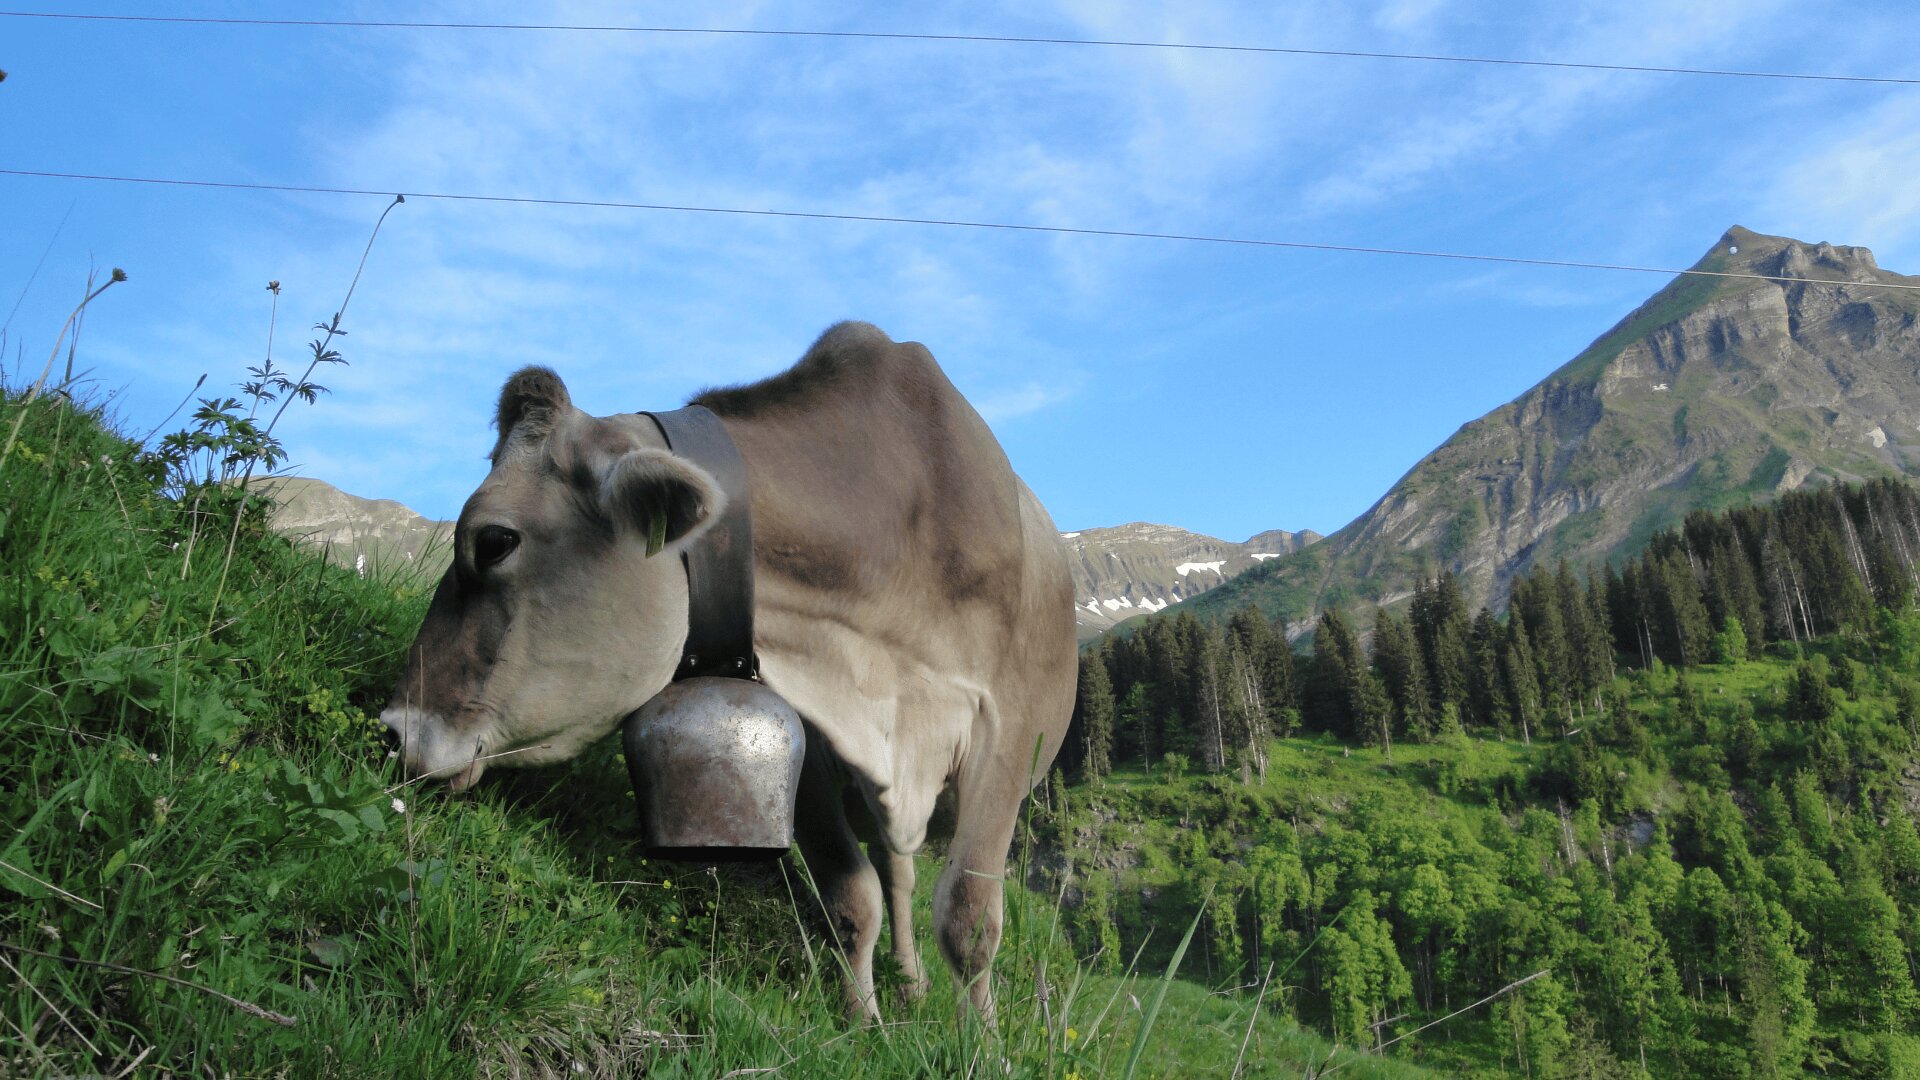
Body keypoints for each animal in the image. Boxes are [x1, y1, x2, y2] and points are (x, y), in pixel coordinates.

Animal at [379, 321, 1077, 1019]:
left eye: (494, 541)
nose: (394, 727)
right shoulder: (808, 731)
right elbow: (852, 897)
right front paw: (863, 1023)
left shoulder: (1008, 739)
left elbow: (968, 920)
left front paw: (980, 1038)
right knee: (896, 866)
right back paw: (908, 982)